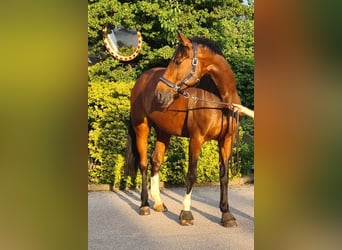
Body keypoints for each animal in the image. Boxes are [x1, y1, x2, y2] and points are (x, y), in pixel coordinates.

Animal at [124, 63, 239, 226]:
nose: (160, 94)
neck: (219, 101)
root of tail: (142, 79)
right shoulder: (196, 139)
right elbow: (191, 174)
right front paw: (186, 213)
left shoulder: (226, 141)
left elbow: (224, 176)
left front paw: (226, 214)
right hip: (142, 128)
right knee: (144, 164)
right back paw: (144, 205)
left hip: (164, 132)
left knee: (155, 161)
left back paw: (158, 203)